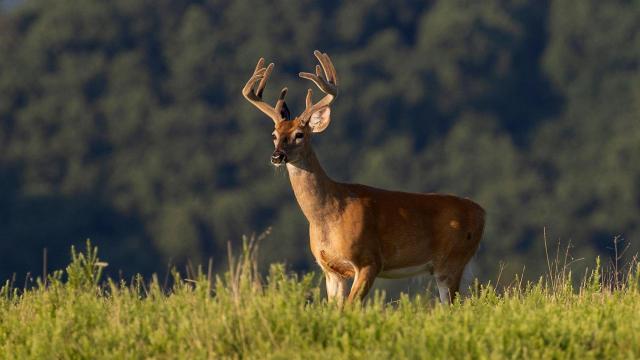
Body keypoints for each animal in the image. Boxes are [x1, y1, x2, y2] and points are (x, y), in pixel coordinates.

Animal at [241, 50, 484, 304]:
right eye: (274, 134)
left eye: (299, 134)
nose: (277, 156)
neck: (330, 213)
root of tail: (481, 212)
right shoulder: (331, 271)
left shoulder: (370, 260)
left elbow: (351, 306)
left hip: (452, 260)